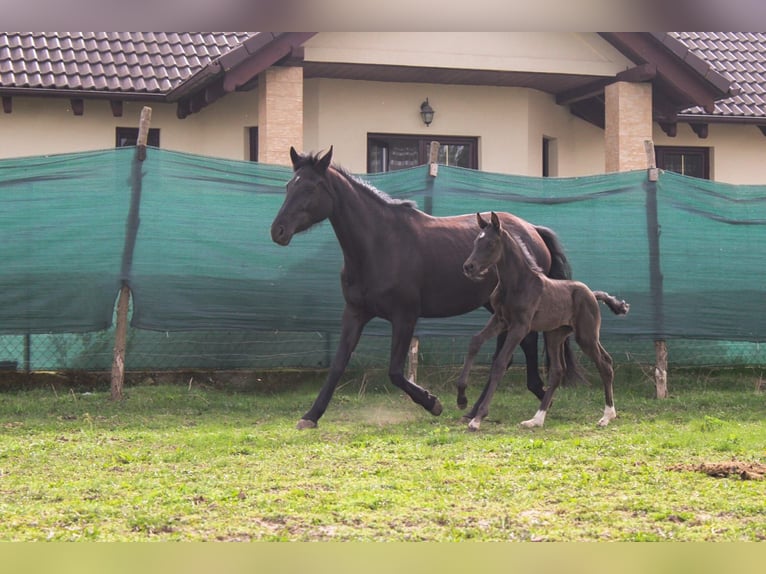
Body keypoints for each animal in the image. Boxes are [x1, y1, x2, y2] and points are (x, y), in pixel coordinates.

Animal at [270, 146, 576, 430]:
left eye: (310, 187)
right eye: (289, 186)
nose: (278, 231)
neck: (380, 244)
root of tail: (533, 229)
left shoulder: (405, 316)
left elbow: (395, 371)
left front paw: (433, 403)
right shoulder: (355, 312)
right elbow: (338, 364)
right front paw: (311, 416)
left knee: (518, 349)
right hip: (498, 307)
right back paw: (478, 408)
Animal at [456, 214, 632, 430]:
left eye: (490, 243)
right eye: (475, 242)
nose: (468, 267)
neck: (518, 283)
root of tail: (593, 294)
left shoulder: (520, 327)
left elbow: (500, 363)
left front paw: (477, 418)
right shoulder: (500, 320)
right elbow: (475, 342)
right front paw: (461, 399)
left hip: (586, 336)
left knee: (605, 364)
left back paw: (607, 416)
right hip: (554, 335)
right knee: (557, 371)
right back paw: (536, 419)